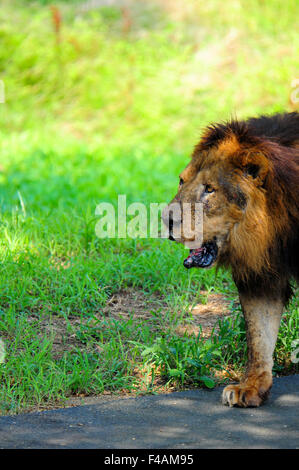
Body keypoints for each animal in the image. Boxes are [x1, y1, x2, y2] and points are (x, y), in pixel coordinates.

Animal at [164, 111, 299, 408]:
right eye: (181, 181)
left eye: (209, 189)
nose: (166, 220)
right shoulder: (262, 277)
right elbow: (259, 335)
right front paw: (251, 387)